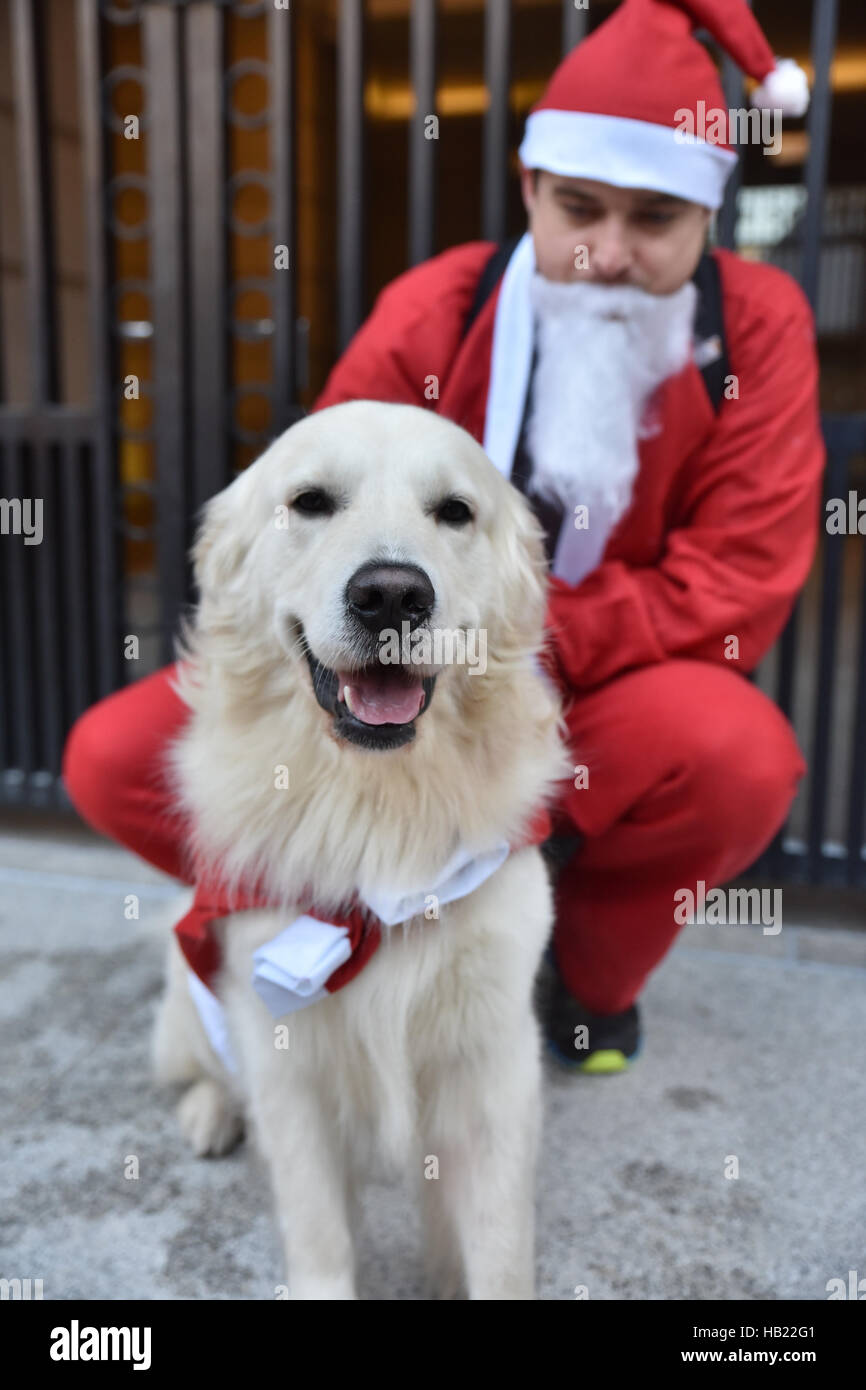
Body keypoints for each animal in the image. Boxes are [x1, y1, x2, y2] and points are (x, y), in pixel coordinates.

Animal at [152, 397, 572, 1295]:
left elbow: (497, 1245)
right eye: (311, 502)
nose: (390, 596)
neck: (378, 806)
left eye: (455, 511)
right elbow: (318, 1233)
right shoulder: (288, 1066)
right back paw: (209, 1112)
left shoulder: (492, 1062)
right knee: (205, 1066)